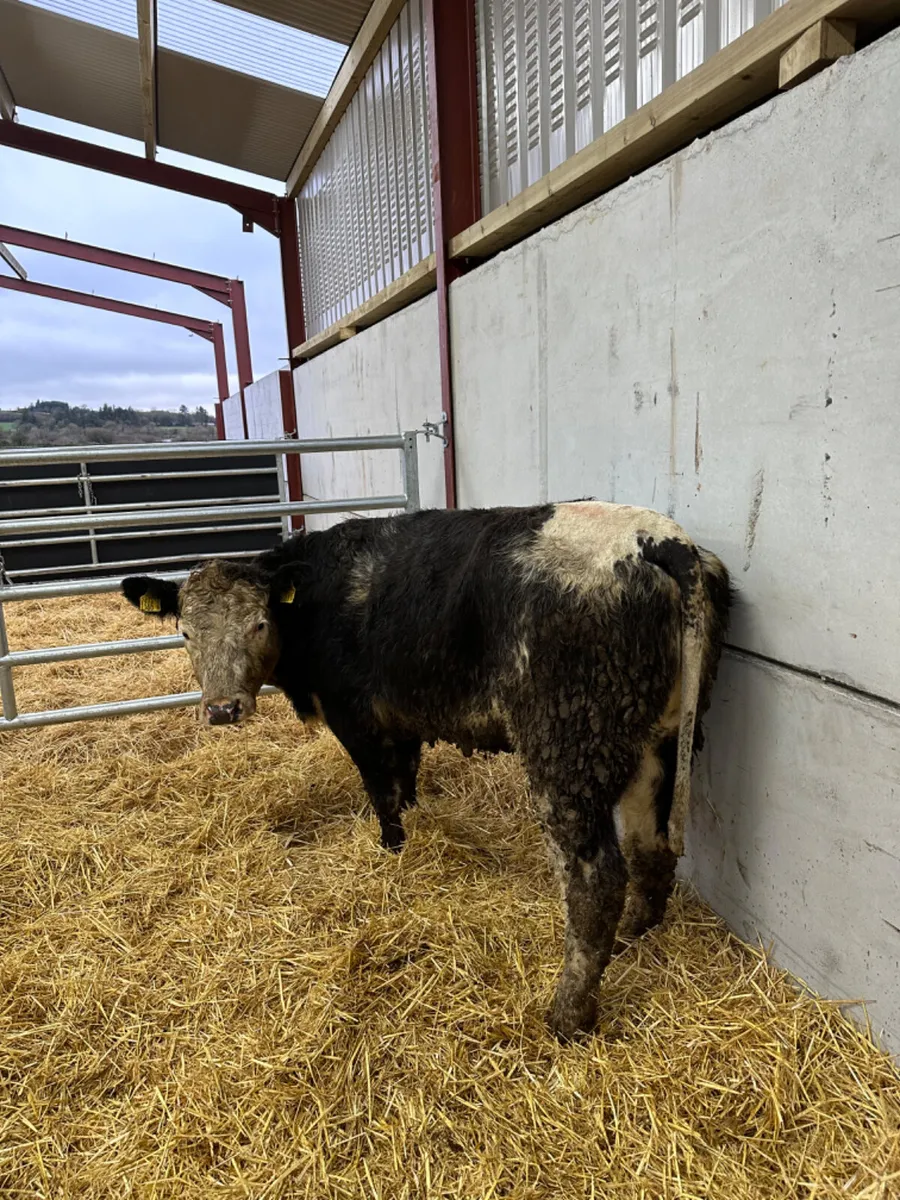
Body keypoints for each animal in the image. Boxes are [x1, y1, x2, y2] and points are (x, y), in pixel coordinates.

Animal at [122, 501, 732, 1040]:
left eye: (259, 623)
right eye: (185, 632)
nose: (222, 709)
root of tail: (656, 539)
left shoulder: (358, 720)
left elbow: (384, 795)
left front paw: (392, 851)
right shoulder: (402, 722)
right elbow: (407, 781)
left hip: (568, 749)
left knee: (595, 879)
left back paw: (567, 1017)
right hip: (658, 741)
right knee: (651, 847)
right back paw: (634, 934)